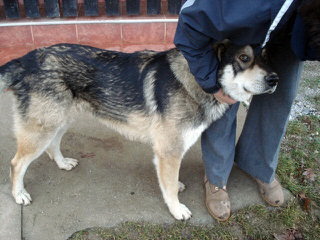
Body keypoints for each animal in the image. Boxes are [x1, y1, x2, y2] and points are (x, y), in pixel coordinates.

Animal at [0, 42, 278, 219]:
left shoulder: (170, 152)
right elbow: (168, 187)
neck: (197, 80)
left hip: (59, 121)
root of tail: (25, 59)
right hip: (43, 128)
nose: (275, 79)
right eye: (243, 58)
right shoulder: (169, 151)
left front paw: (176, 186)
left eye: (267, 58)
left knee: (52, 146)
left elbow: (170, 180)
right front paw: (176, 210)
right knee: (16, 163)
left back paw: (61, 163)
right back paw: (19, 194)